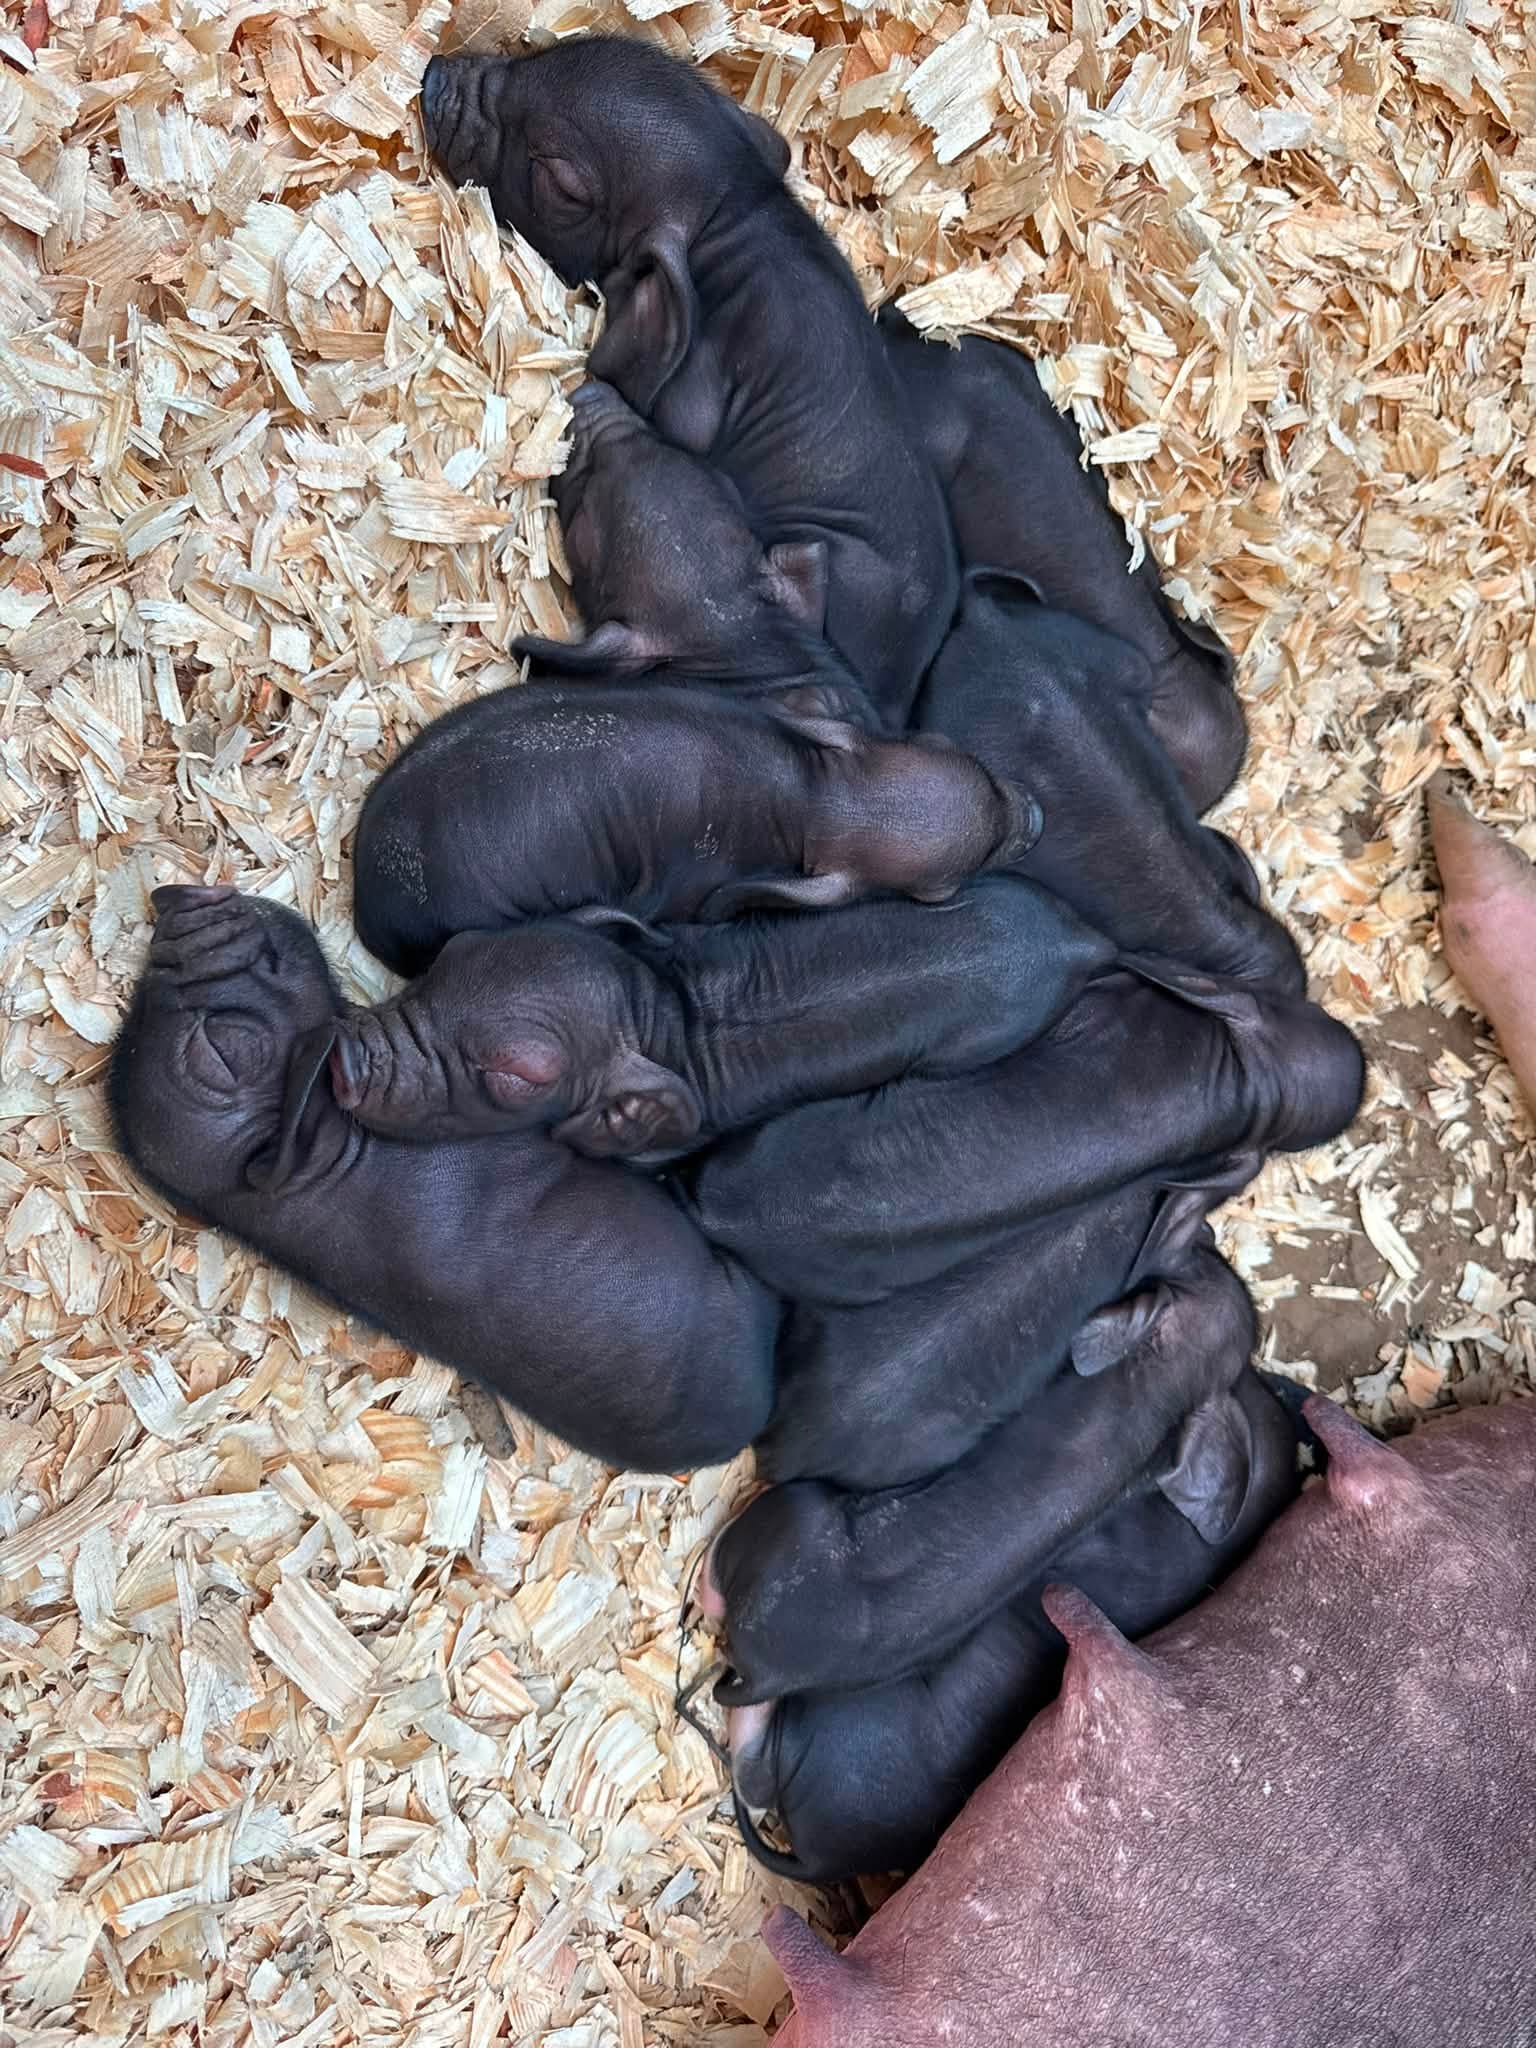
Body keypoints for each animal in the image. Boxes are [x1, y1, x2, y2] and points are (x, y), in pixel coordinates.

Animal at [703, 1245, 1256, 1704]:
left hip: (784, 1522)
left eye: (1195, 1274)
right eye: (1209, 1270)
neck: (1152, 1402)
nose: (1208, 1242)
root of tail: (766, 1676)